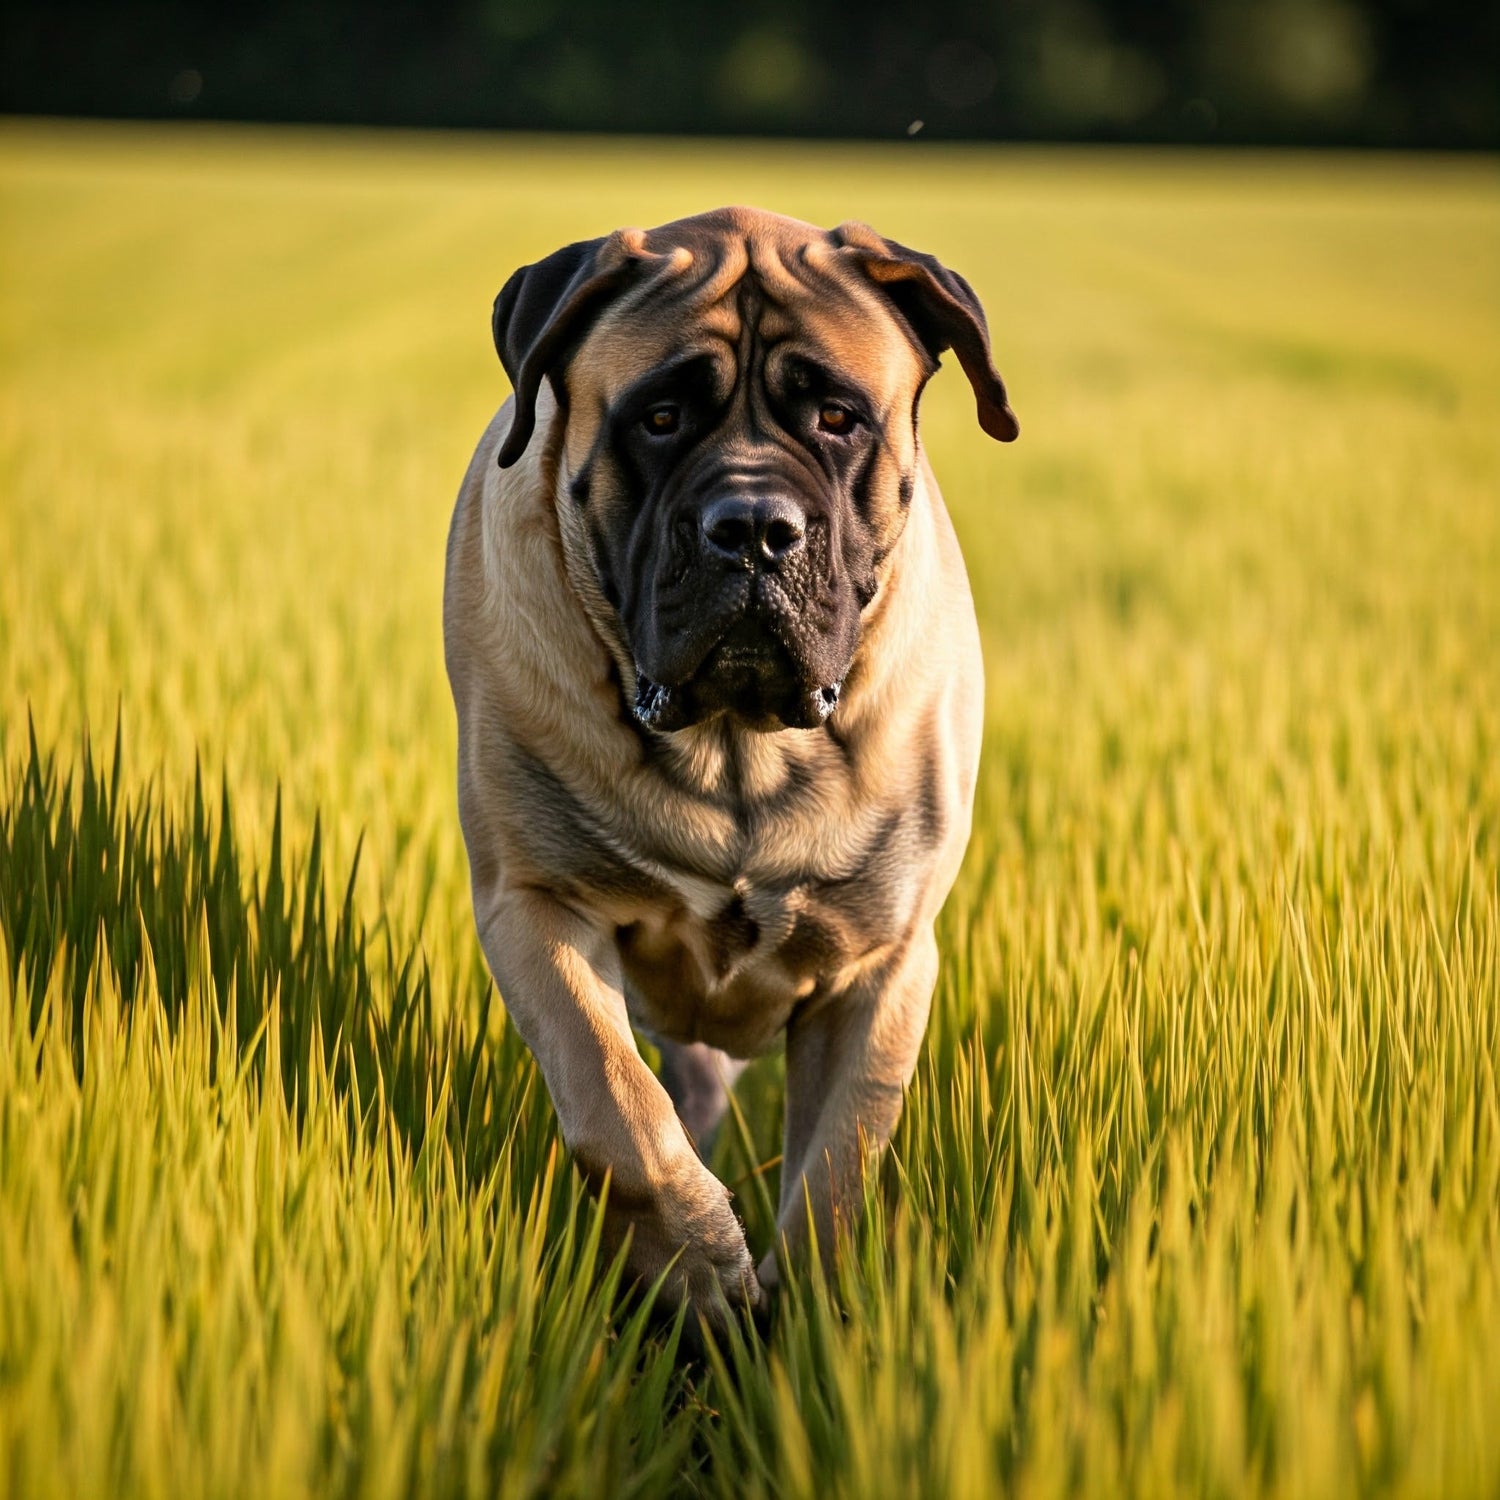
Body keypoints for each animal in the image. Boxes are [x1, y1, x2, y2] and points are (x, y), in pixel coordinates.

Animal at [438, 202, 1014, 1326]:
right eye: (660, 418)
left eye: (837, 417)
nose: (751, 528)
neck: (737, 748)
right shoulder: (534, 902)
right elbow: (614, 1104)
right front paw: (700, 1262)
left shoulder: (883, 963)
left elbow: (839, 1163)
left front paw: (807, 1324)